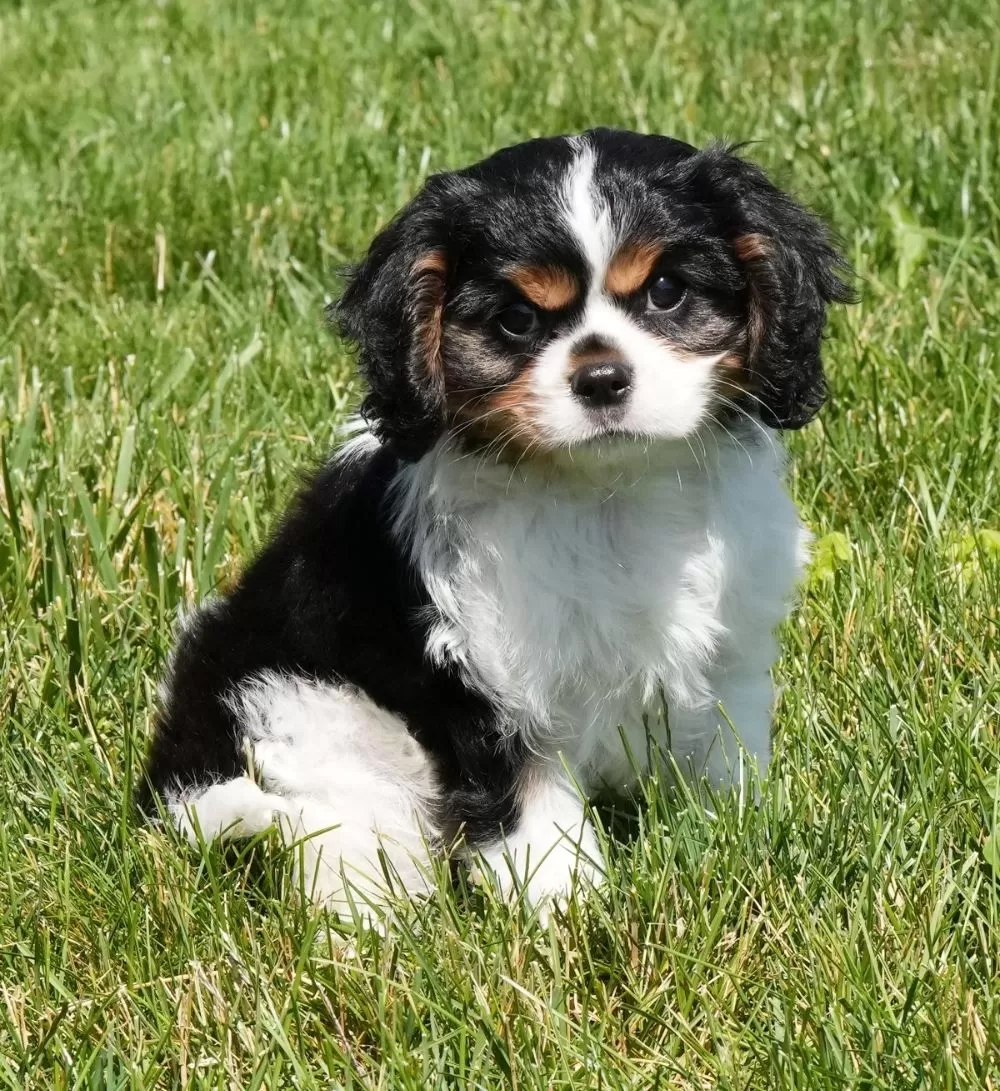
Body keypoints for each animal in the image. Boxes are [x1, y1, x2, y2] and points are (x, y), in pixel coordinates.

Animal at [136, 125, 846, 912]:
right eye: (517, 320)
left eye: (666, 292)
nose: (602, 377)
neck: (606, 491)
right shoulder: (487, 677)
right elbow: (534, 806)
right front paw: (566, 906)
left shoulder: (731, 648)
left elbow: (726, 752)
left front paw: (742, 838)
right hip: (300, 711)